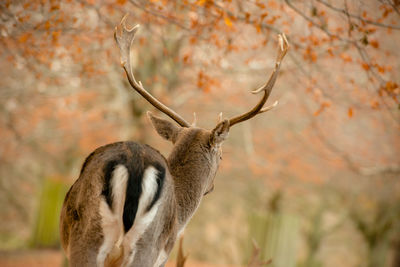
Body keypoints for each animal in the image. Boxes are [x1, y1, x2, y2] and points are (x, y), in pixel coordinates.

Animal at [59, 15, 290, 267]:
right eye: (221, 155)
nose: (211, 187)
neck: (181, 211)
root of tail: (134, 165)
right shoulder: (162, 256)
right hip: (132, 243)